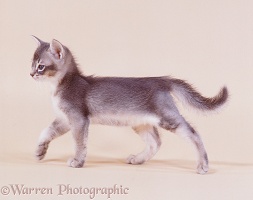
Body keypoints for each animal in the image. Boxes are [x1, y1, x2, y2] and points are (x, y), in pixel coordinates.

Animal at [30, 36, 229, 174]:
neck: (61, 86)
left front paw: (77, 162)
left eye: (40, 66)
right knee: (155, 142)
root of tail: (161, 80)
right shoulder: (64, 119)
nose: (31, 74)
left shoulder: (78, 119)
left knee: (194, 134)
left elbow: (79, 143)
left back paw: (203, 165)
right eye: (31, 64)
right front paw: (40, 151)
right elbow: (46, 131)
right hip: (140, 122)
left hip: (167, 118)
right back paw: (138, 159)